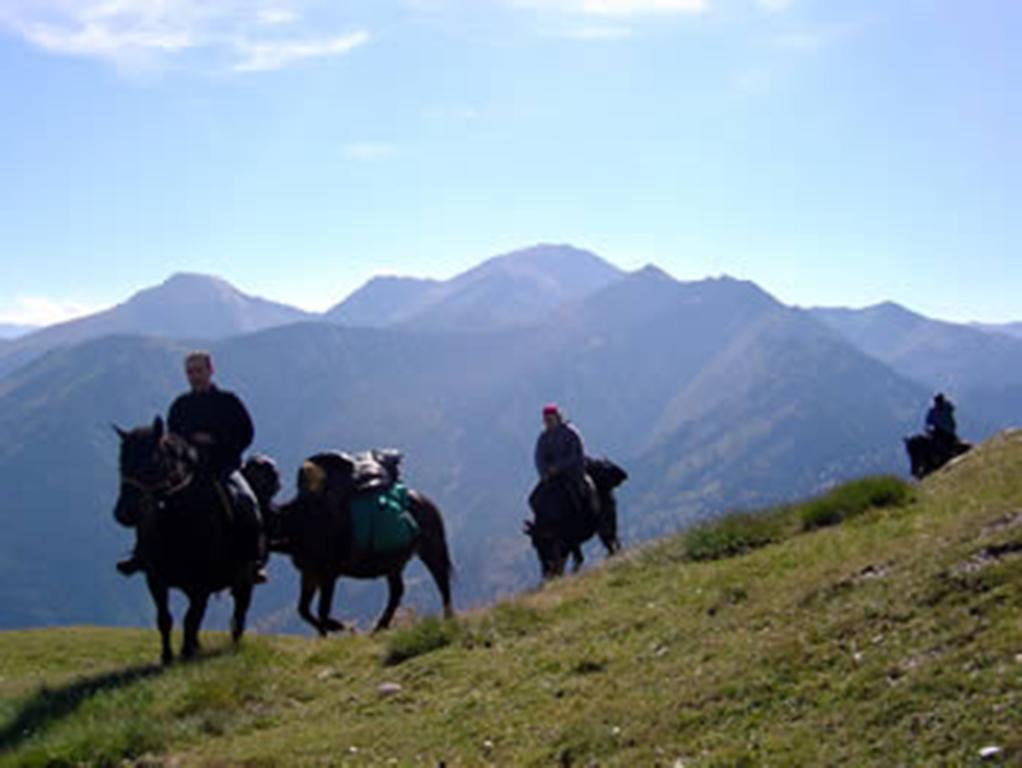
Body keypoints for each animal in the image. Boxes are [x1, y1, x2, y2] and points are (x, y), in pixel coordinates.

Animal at [113, 417, 257, 662]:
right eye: (121, 464)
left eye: (152, 462)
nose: (124, 513)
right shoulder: (155, 579)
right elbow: (165, 619)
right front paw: (167, 656)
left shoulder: (201, 582)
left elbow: (191, 619)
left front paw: (186, 652)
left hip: (244, 579)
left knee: (239, 613)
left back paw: (231, 646)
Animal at [241, 449, 453, 638]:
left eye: (254, 471)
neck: (295, 521)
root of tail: (428, 502)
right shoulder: (309, 572)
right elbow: (303, 610)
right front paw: (326, 632)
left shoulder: (328, 573)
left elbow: (321, 611)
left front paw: (339, 627)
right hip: (394, 561)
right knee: (397, 590)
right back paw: (379, 627)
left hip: (432, 547)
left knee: (441, 579)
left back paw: (448, 618)